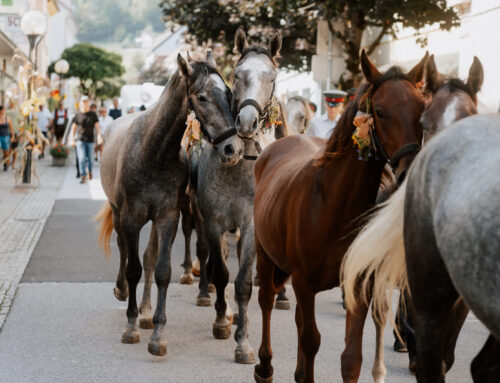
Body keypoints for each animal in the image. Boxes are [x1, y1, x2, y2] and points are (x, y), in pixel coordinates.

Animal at [97, 53, 242, 356]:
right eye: (202, 97)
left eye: (228, 93)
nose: (233, 149)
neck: (153, 152)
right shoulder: (131, 218)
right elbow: (133, 269)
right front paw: (130, 327)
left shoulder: (167, 217)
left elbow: (161, 269)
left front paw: (157, 333)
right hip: (117, 213)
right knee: (123, 249)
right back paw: (122, 291)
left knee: (149, 257)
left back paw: (146, 311)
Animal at [190, 28, 288, 364]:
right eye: (236, 73)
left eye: (272, 76)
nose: (246, 122)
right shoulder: (213, 222)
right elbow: (221, 274)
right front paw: (222, 321)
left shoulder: (250, 226)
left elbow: (243, 282)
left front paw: (243, 342)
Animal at [252, 49, 428, 382]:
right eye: (380, 111)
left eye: (422, 111)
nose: (409, 173)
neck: (333, 205)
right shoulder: (304, 283)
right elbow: (311, 340)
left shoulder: (358, 285)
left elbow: (351, 357)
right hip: (264, 253)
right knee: (266, 300)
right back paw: (265, 364)